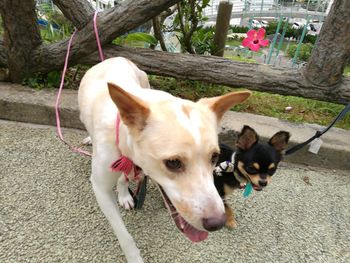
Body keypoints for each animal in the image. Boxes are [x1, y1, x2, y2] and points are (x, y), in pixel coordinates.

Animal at [78, 57, 250, 262]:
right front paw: (134, 257)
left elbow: (124, 177)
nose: (217, 223)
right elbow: (124, 236)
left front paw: (124, 194)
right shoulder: (100, 188)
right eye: (173, 163)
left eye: (214, 157)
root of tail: (116, 58)